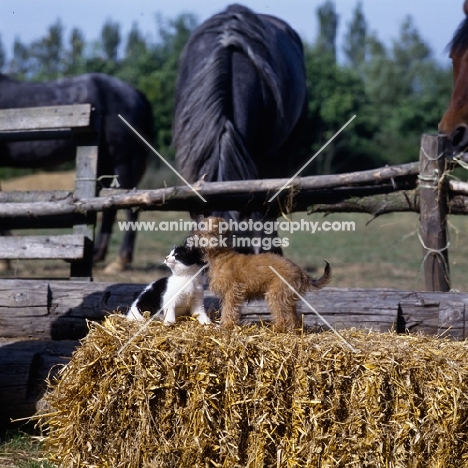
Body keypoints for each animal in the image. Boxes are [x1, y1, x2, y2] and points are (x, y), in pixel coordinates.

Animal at [0, 72, 154, 270]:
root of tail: (136, 93)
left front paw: (5, 261)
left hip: (123, 162)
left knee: (129, 208)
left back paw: (119, 261)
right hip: (106, 163)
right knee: (110, 207)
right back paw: (97, 256)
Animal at [192, 218, 330, 330]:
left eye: (205, 229)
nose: (194, 235)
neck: (222, 256)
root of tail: (300, 271)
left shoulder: (232, 292)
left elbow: (228, 309)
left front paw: (226, 325)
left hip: (275, 295)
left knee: (282, 317)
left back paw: (276, 329)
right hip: (287, 297)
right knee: (292, 317)